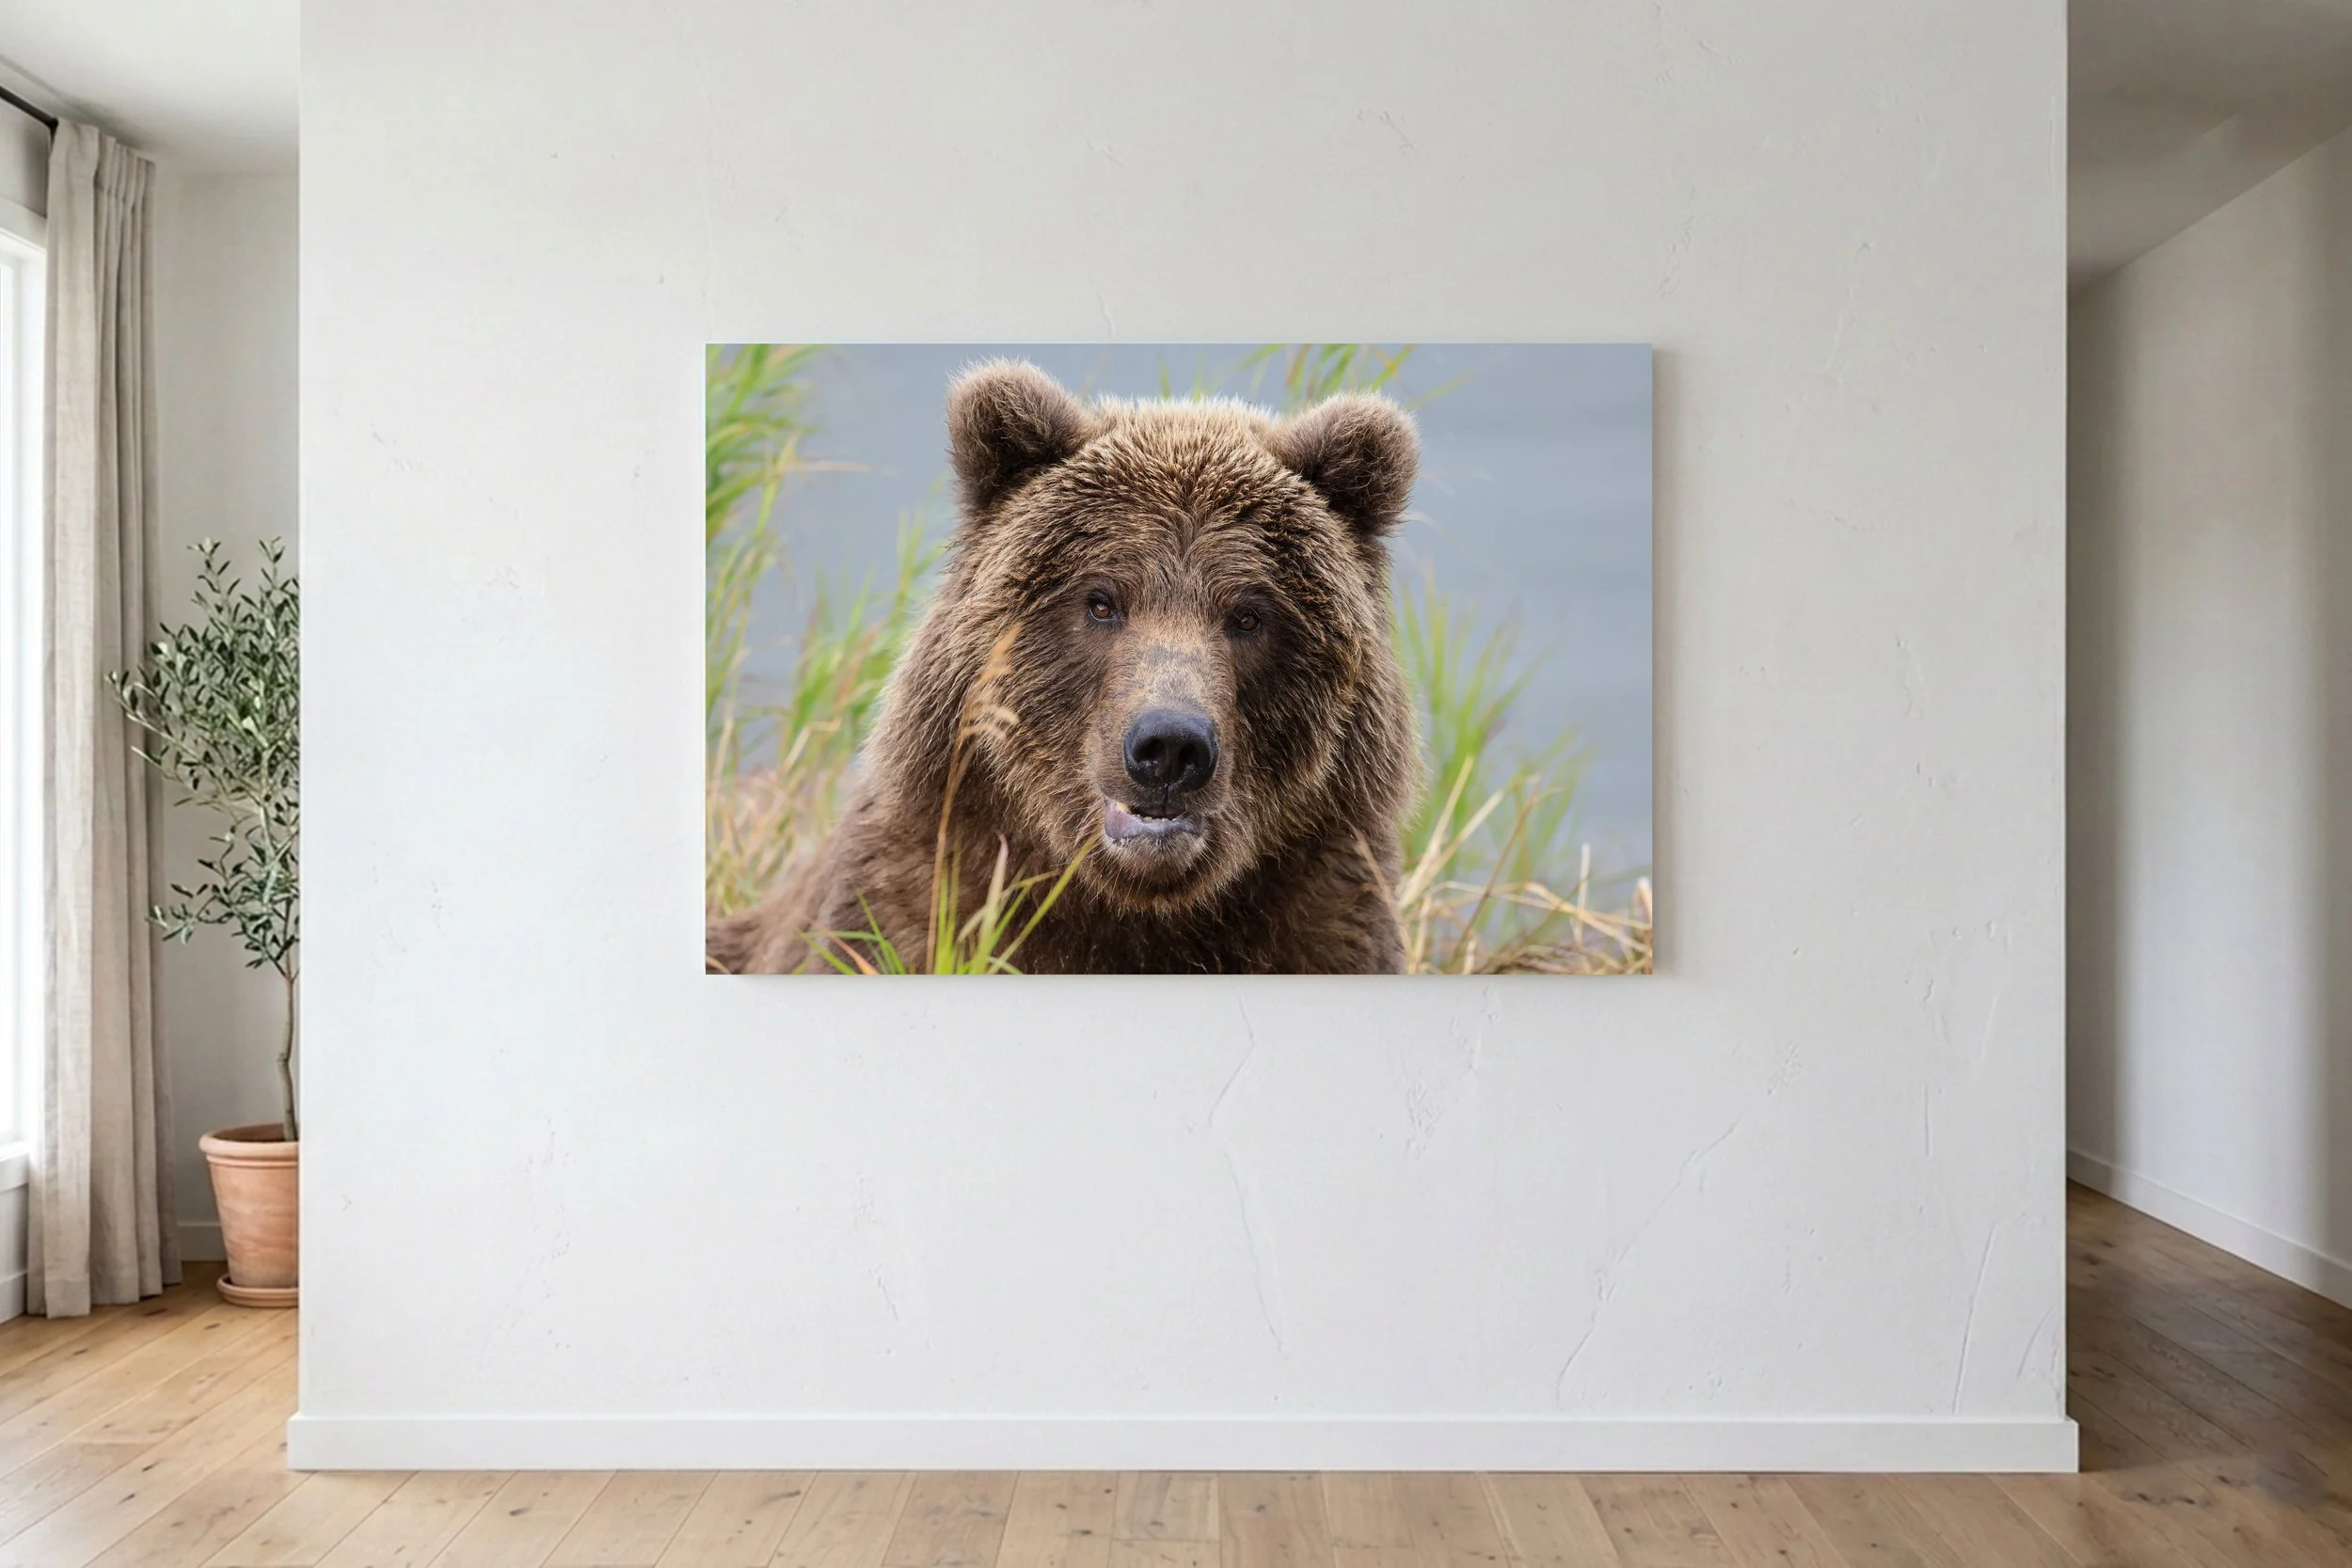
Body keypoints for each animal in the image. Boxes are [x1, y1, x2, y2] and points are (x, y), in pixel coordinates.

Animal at [707, 359, 1423, 975]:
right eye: (1101, 600)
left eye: (1248, 614)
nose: (1170, 747)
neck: (1129, 907)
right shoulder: (905, 906)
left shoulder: (1326, 921)